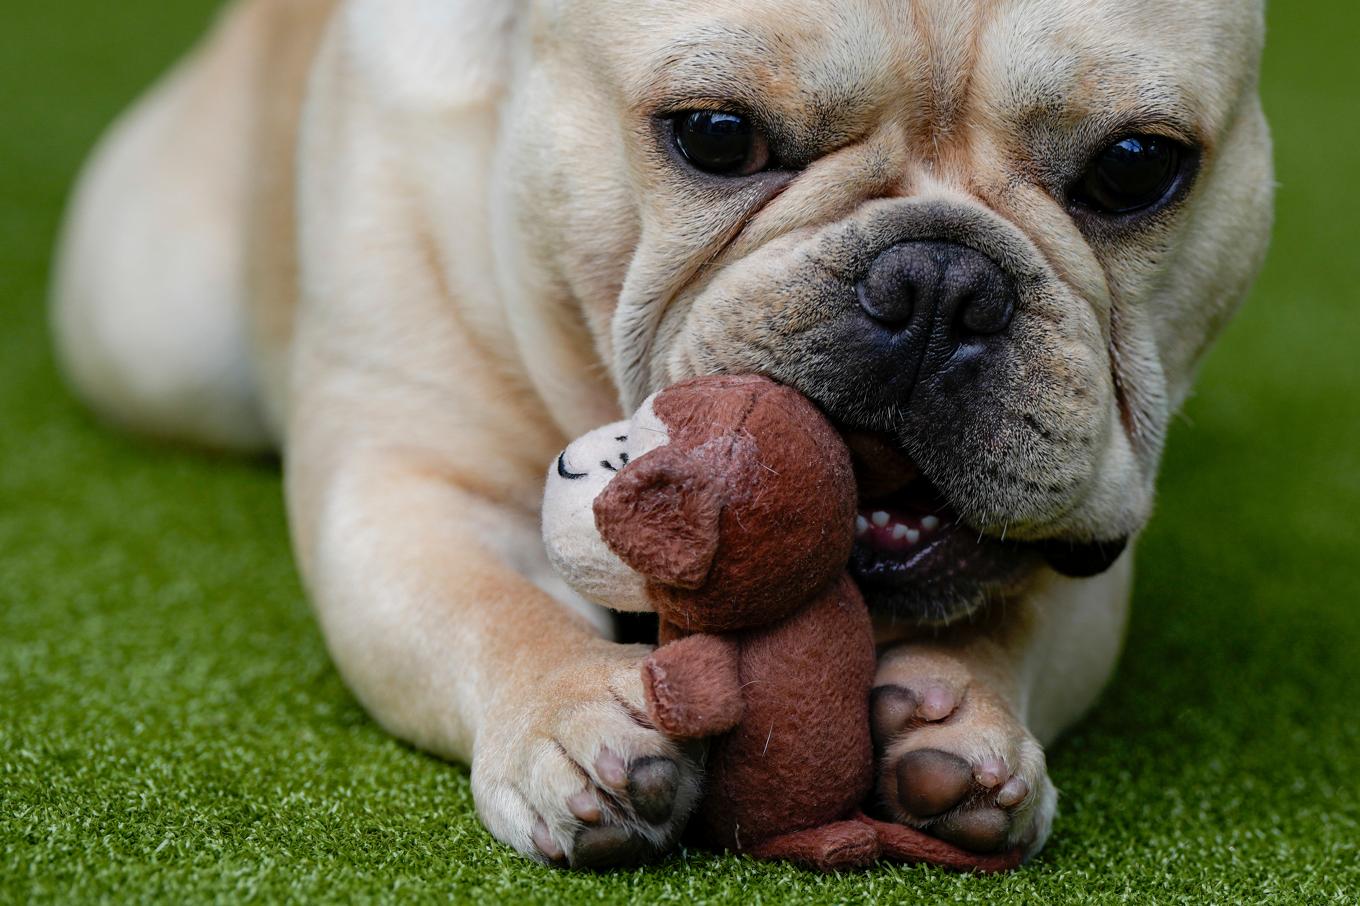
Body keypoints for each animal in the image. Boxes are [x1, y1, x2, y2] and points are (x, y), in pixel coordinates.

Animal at [47, 0, 1267, 865]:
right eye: (716, 138)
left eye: (1136, 167)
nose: (937, 285)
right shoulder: (412, 485)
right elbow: (487, 604)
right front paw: (572, 717)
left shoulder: (1093, 522)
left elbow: (1015, 614)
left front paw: (960, 721)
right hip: (150, 332)